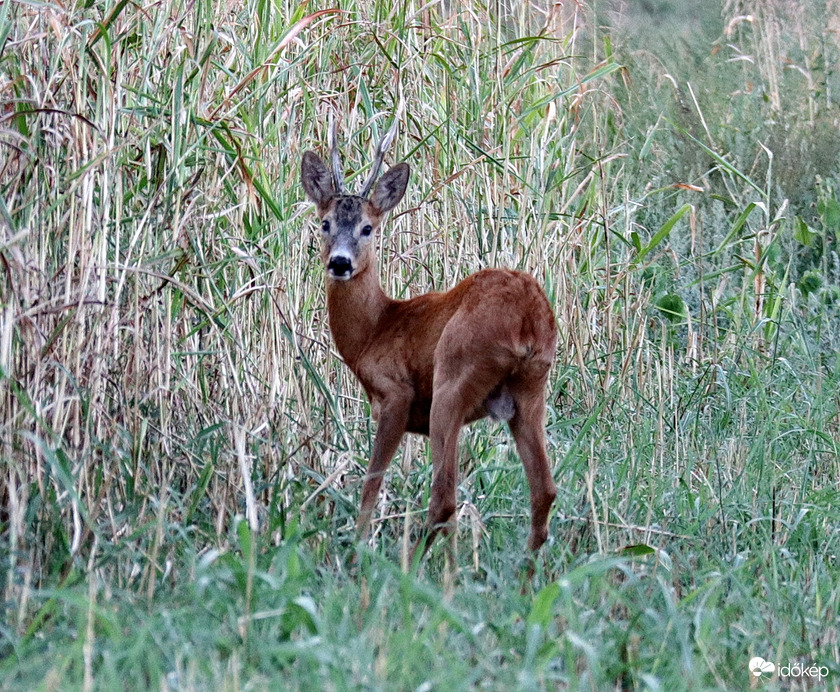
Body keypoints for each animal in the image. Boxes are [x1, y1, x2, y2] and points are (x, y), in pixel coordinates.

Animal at [302, 120, 556, 564]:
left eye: (368, 228)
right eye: (325, 223)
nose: (340, 263)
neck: (376, 330)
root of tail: (529, 317)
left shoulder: (395, 395)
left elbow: (371, 484)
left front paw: (356, 549)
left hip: (453, 378)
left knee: (443, 499)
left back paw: (409, 566)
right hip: (530, 390)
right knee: (543, 493)